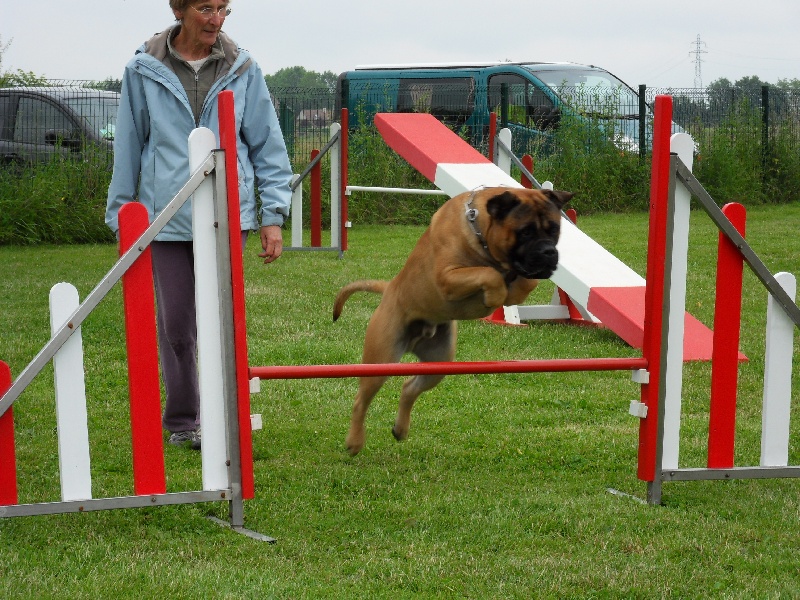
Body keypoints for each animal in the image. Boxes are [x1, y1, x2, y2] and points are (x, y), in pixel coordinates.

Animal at [334, 188, 572, 454]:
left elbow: (524, 283)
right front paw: (494, 295)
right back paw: (354, 441)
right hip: (381, 360)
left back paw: (400, 428)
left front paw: (508, 291)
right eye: (526, 231)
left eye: (554, 229)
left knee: (409, 387)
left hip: (439, 362)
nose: (549, 251)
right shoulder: (447, 277)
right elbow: (489, 274)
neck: (480, 232)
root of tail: (389, 289)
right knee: (361, 401)